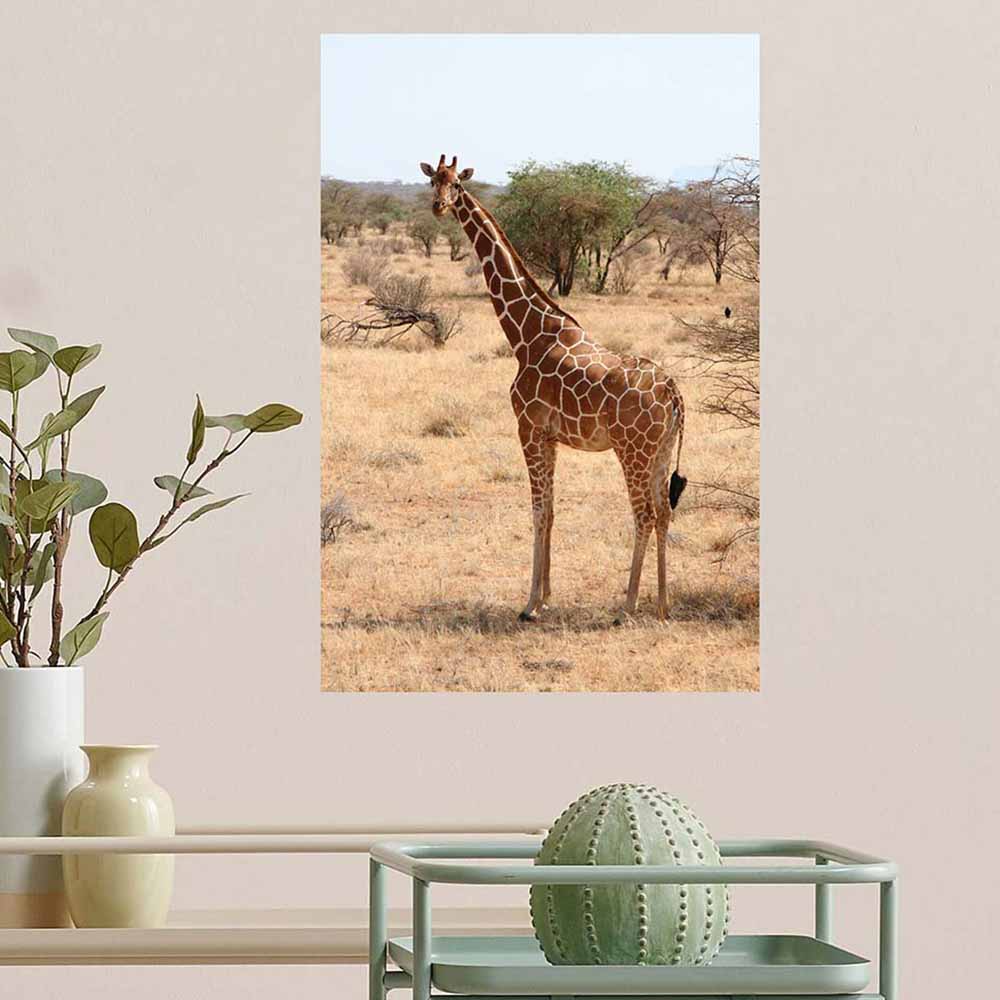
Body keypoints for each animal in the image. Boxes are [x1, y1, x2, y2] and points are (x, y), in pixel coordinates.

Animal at [420, 155, 687, 622]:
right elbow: (552, 511)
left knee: (643, 514)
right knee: (663, 512)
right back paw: (661, 605)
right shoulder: (550, 436)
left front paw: (530, 603)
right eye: (433, 180)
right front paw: (545, 595)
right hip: (660, 450)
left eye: (457, 184)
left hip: (631, 449)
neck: (525, 333)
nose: (439, 206)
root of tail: (674, 393)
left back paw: (627, 606)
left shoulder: (527, 428)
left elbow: (538, 511)